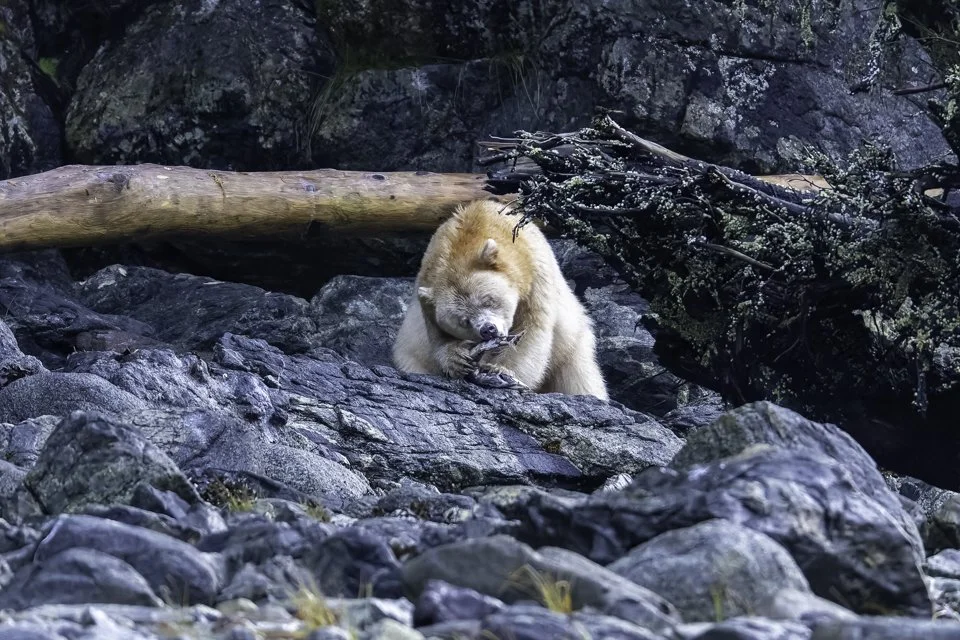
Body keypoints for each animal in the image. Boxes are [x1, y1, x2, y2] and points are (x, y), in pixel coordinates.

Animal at [391, 198, 609, 401]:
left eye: (488, 300)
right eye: (463, 321)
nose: (488, 329)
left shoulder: (536, 276)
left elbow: (530, 332)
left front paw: (500, 371)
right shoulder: (426, 288)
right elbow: (436, 334)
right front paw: (456, 358)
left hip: (572, 348)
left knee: (579, 378)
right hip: (410, 356)